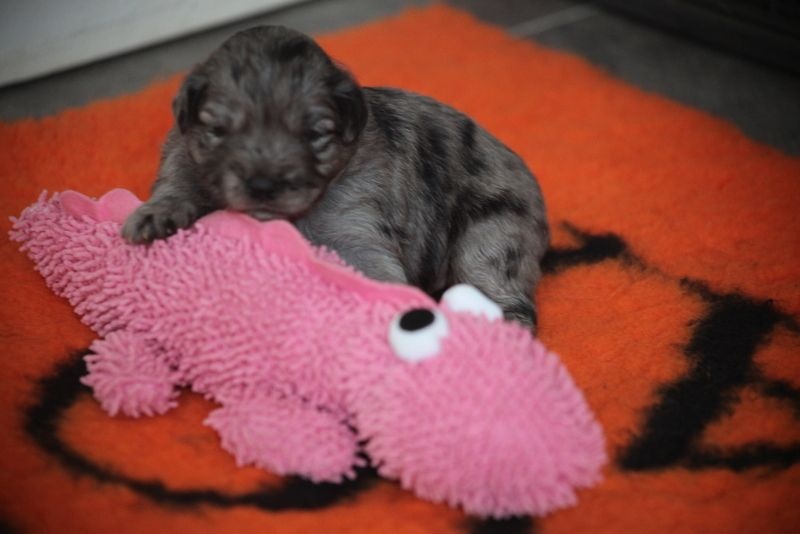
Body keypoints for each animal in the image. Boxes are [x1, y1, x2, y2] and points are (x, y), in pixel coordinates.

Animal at [122, 26, 549, 327]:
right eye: (218, 130)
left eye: (314, 134)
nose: (263, 187)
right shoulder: (182, 149)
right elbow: (179, 177)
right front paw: (155, 214)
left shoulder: (356, 229)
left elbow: (373, 273)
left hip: (493, 232)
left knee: (504, 291)